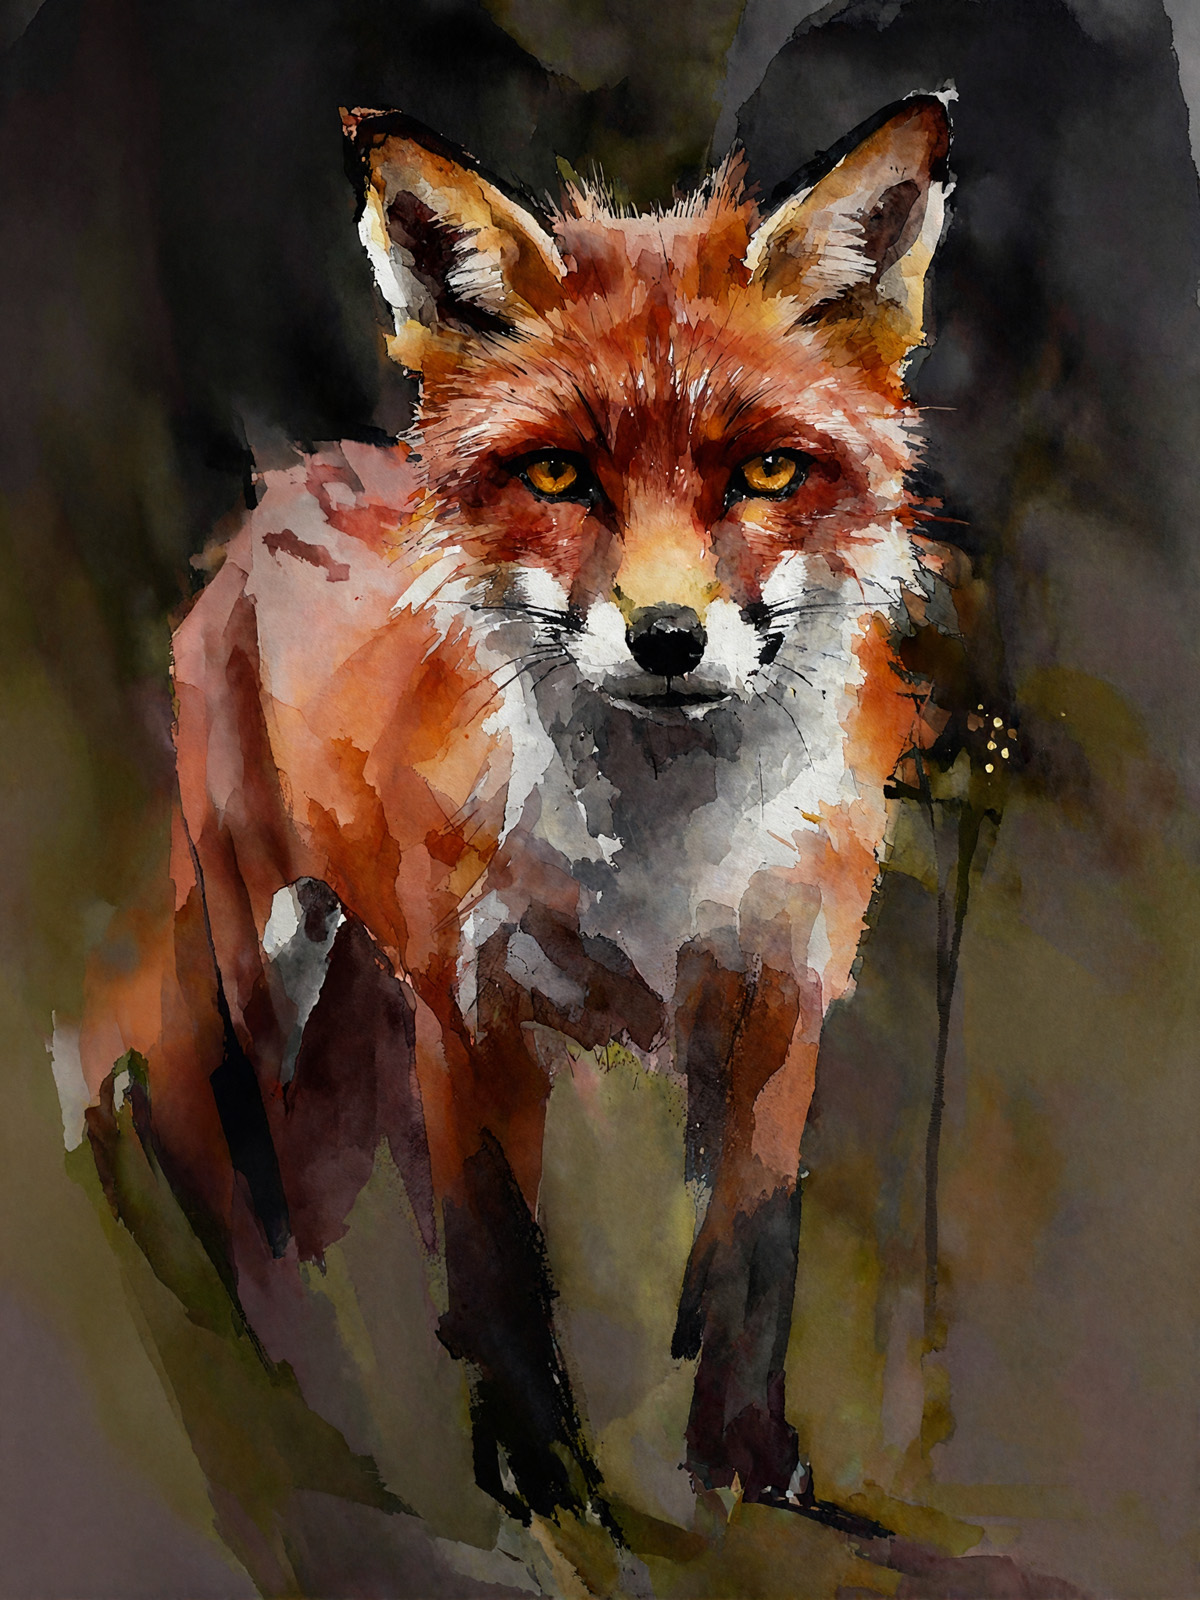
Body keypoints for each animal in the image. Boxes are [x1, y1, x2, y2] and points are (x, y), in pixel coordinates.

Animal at [78, 94, 978, 1534]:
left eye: (769, 472)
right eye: (558, 477)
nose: (667, 639)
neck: (660, 854)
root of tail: (293, 475)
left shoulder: (783, 999)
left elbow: (750, 1249)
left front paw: (741, 1458)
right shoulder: (470, 1013)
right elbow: (499, 1249)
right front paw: (539, 1472)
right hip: (272, 951)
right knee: (256, 1121)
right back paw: (276, 1299)